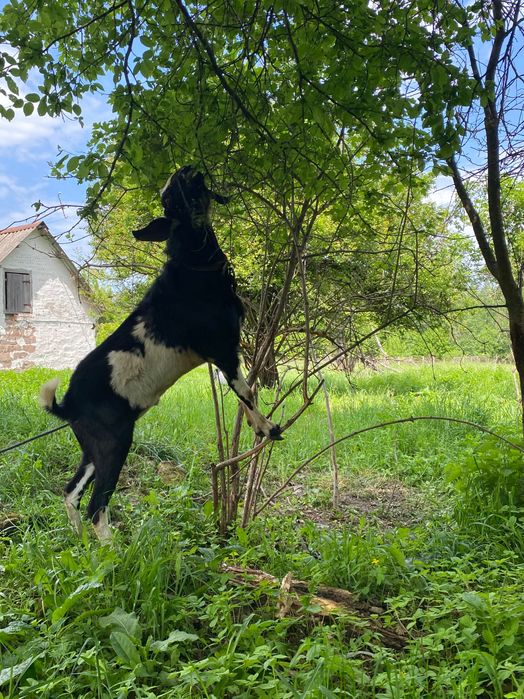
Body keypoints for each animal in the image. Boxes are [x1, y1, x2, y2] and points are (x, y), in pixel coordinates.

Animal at [40, 165, 282, 542]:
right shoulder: (222, 349)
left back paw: (81, 541)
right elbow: (246, 392)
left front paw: (261, 428)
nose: (185, 169)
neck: (192, 267)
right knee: (96, 505)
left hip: (91, 449)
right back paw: (113, 550)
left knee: (71, 493)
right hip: (113, 443)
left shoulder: (223, 353)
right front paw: (266, 428)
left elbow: (244, 393)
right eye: (170, 200)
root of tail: (68, 404)